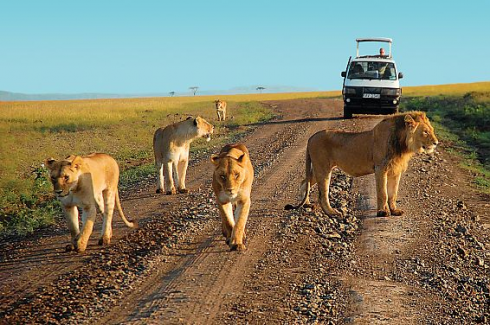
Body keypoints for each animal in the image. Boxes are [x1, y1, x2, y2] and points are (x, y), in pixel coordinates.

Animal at [286, 112, 438, 216]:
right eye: (425, 132)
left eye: (432, 130)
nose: (436, 142)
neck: (402, 145)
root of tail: (311, 137)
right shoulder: (380, 168)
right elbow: (383, 193)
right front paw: (383, 212)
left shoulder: (396, 170)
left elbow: (393, 193)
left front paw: (395, 211)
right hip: (323, 168)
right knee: (322, 194)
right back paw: (332, 213)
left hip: (319, 168)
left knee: (304, 182)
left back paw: (306, 204)